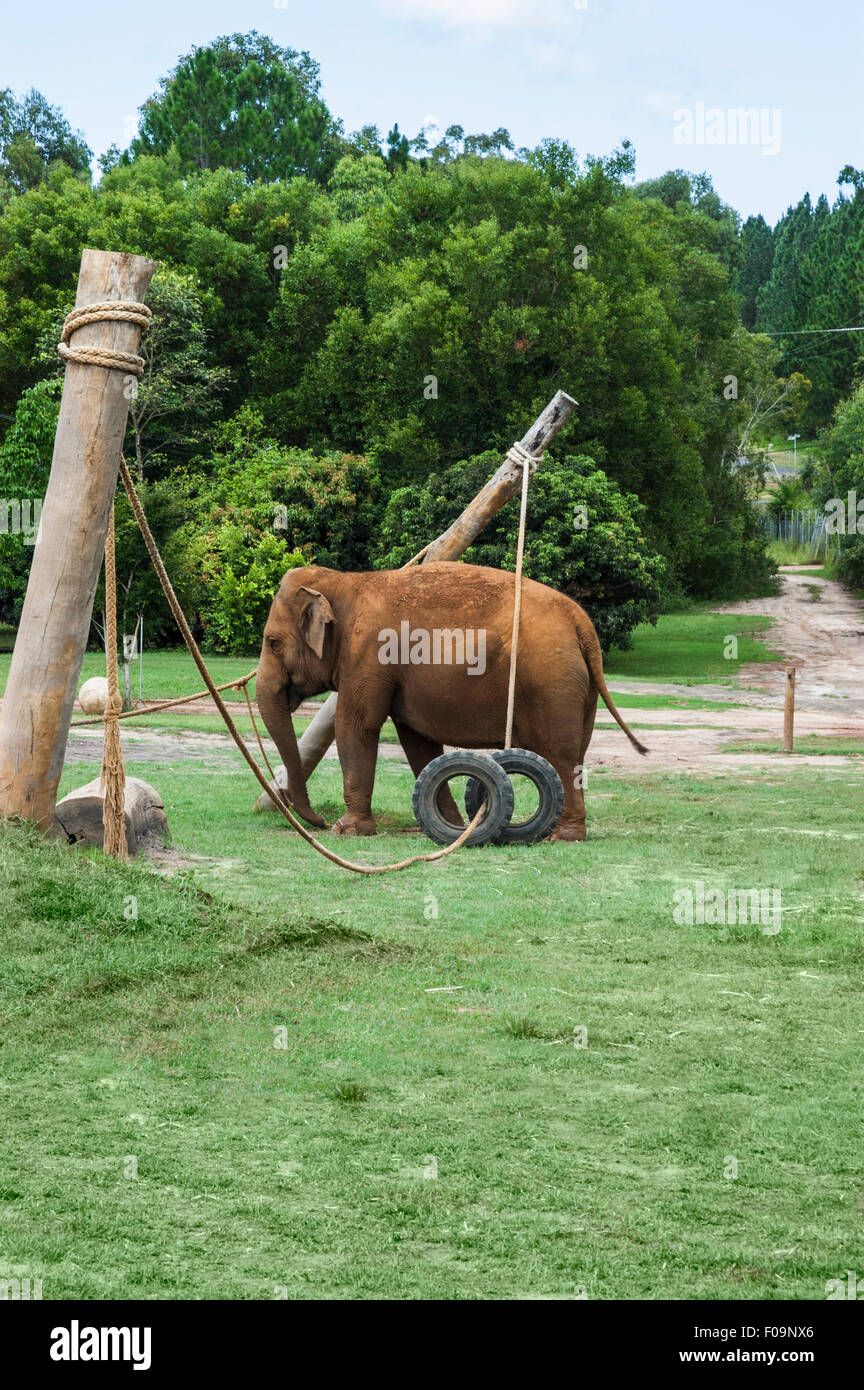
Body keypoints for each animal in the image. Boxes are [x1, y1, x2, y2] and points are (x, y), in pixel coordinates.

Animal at [256, 558, 650, 839]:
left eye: (272, 642)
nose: (318, 823)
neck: (345, 582)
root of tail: (580, 621)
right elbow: (417, 742)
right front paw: (455, 825)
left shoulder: (368, 654)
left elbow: (356, 726)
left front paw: (349, 830)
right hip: (578, 687)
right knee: (576, 751)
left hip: (551, 679)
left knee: (562, 754)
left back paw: (563, 836)